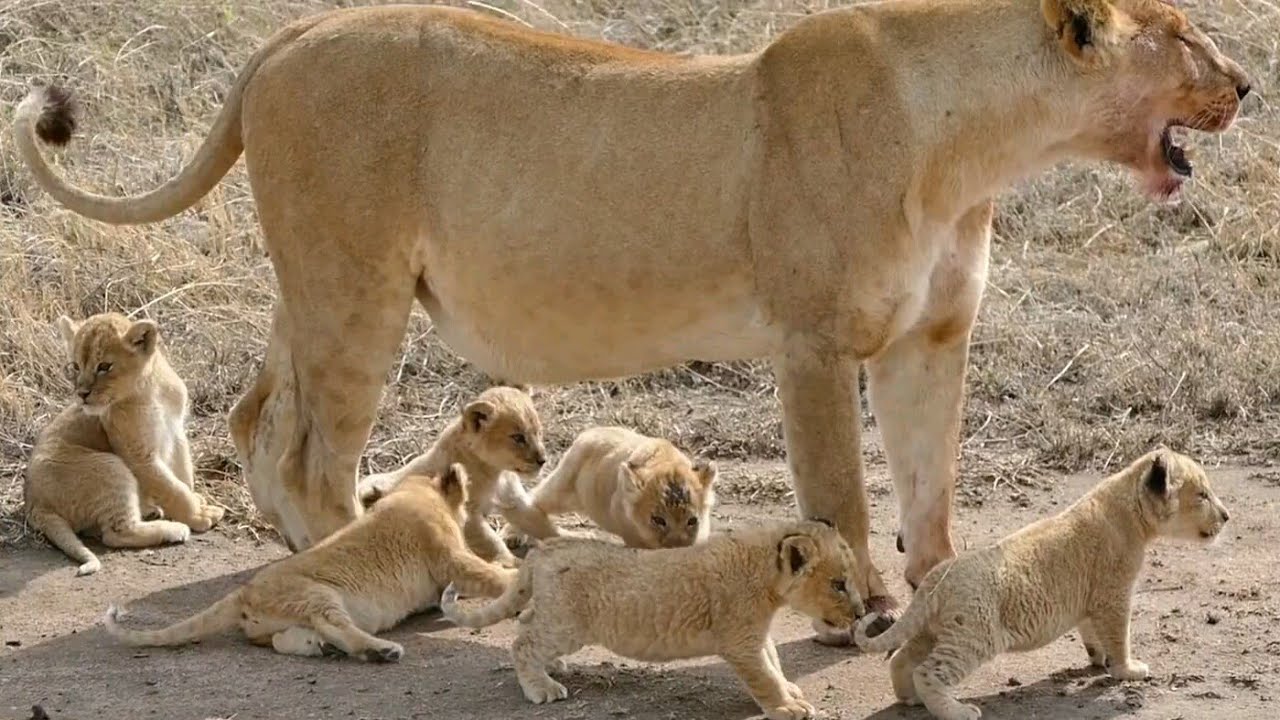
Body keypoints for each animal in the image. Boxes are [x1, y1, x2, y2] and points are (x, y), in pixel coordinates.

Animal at [12, 0, 1249, 627]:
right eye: (1184, 33)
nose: (1245, 82)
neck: (977, 145)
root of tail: (289, 37)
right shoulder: (809, 341)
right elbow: (842, 492)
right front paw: (854, 602)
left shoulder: (927, 340)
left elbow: (928, 483)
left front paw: (938, 587)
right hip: (353, 290)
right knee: (310, 455)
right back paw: (359, 568)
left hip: (315, 286)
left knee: (257, 421)